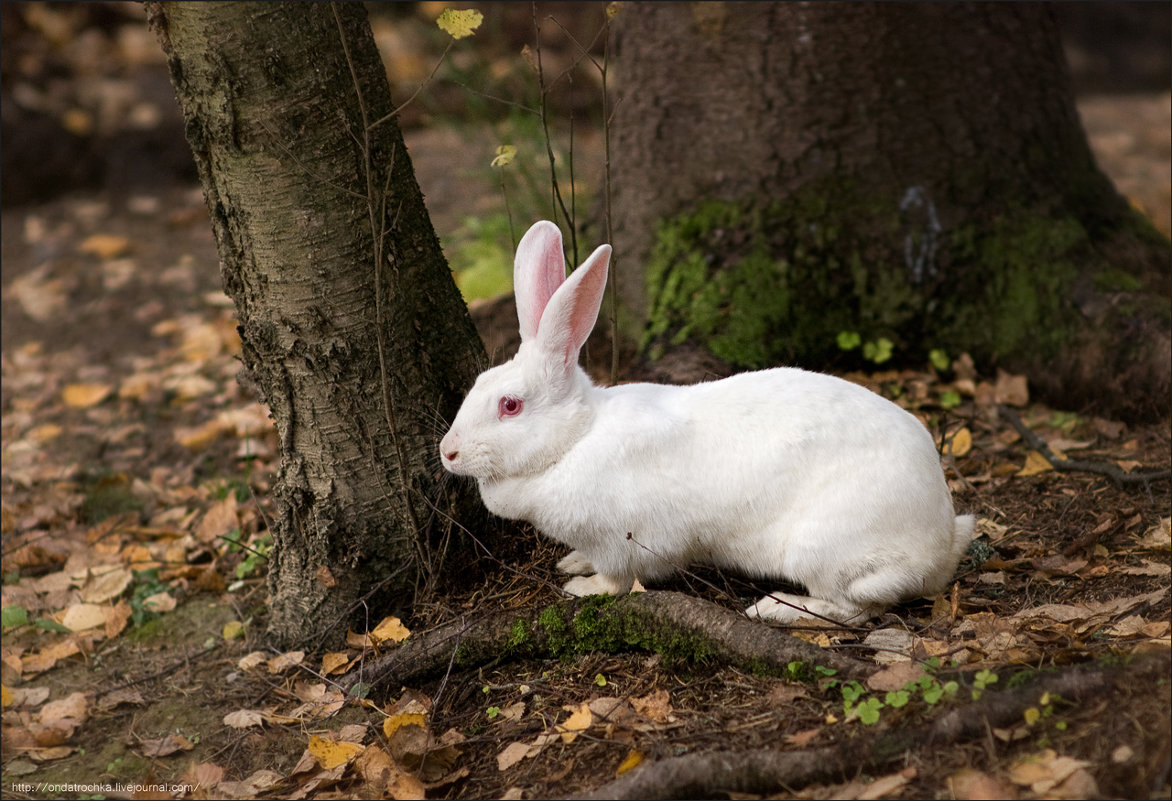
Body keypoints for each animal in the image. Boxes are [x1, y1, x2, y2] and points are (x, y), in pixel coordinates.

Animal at [440, 220, 970, 628]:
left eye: (510, 405)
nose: (447, 452)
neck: (574, 440)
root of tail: (940, 545)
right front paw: (572, 561)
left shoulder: (626, 544)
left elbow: (617, 579)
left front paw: (582, 587)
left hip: (823, 551)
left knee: (854, 609)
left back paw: (775, 608)